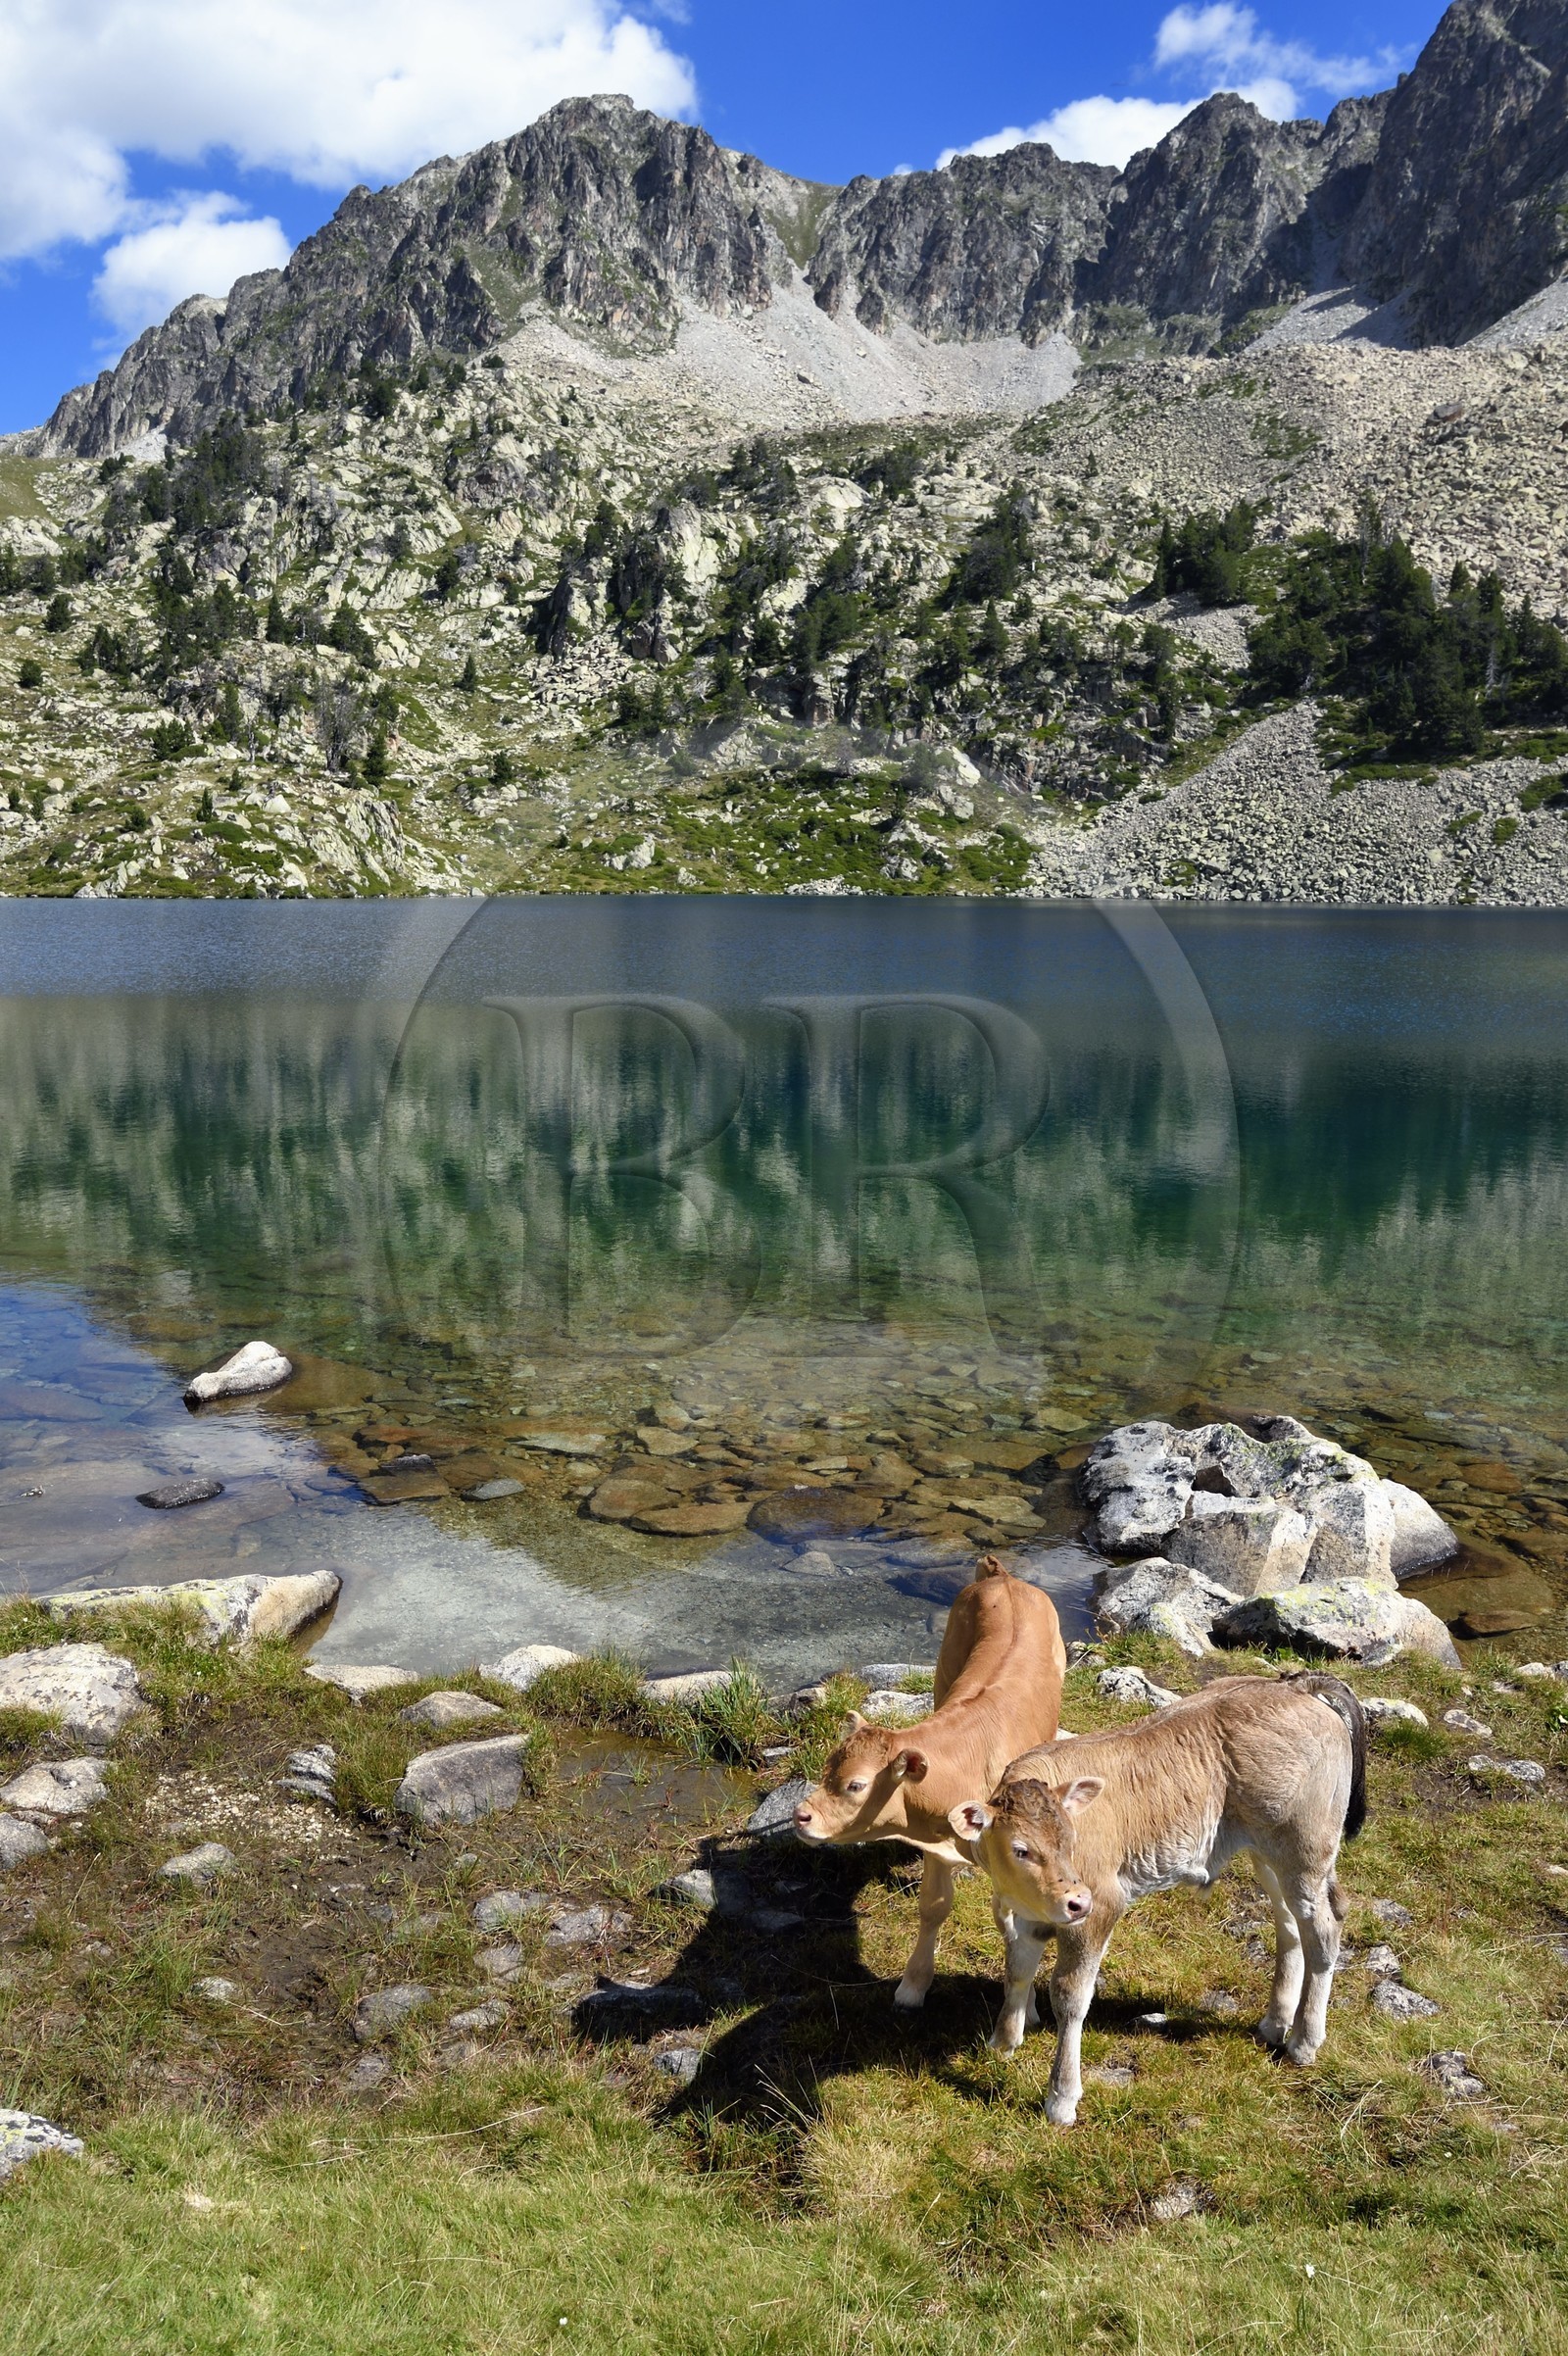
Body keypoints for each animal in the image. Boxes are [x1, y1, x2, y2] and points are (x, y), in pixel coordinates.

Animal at [793, 1554, 1067, 2011]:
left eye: (856, 1786)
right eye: (827, 1768)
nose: (800, 1815)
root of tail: (1002, 1577)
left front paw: (1025, 2004)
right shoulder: (938, 1848)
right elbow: (934, 1907)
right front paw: (913, 1984)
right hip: (944, 1670)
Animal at [948, 1671, 1367, 2123]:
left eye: (1072, 1840)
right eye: (1021, 1849)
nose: (1076, 1899)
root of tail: (1294, 1684)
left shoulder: (1100, 1905)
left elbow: (1070, 1996)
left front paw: (1061, 2096)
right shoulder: (1025, 1913)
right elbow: (1018, 1969)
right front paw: (1003, 2043)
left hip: (1306, 1847)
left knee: (1324, 1930)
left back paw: (1304, 2042)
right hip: (1269, 1853)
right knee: (1290, 1925)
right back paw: (1276, 2022)